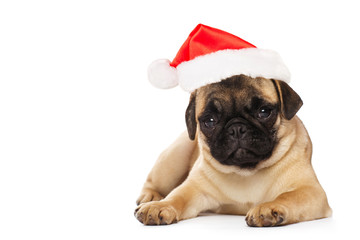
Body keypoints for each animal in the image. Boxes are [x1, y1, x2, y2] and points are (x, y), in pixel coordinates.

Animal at [135, 75, 332, 227]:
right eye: (210, 121)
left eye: (264, 111)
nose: (236, 128)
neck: (247, 171)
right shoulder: (195, 189)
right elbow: (177, 196)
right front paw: (160, 206)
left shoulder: (310, 191)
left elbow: (288, 196)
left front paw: (268, 208)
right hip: (174, 158)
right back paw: (150, 197)